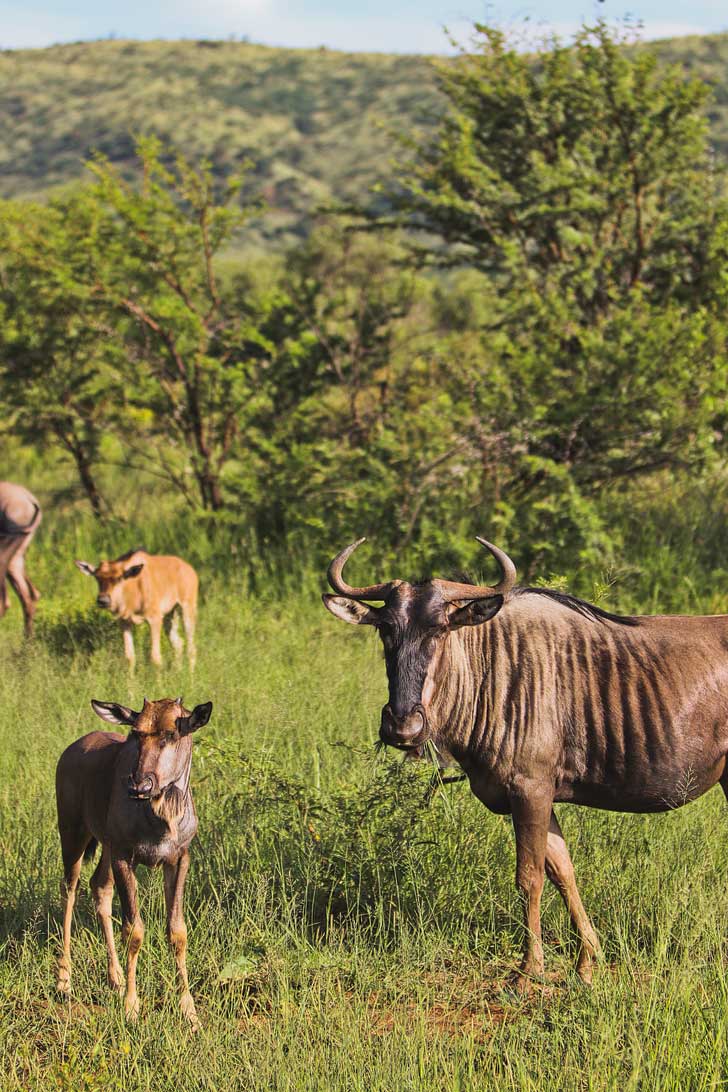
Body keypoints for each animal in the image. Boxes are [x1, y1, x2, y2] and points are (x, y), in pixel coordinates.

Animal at [55, 698, 211, 1022]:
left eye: (171, 733)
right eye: (136, 733)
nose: (140, 786)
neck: (161, 818)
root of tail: (72, 750)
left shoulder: (178, 859)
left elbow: (177, 931)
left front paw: (189, 1011)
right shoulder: (126, 857)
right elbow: (134, 931)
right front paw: (131, 1008)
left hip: (106, 847)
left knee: (99, 886)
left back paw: (113, 977)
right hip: (73, 833)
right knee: (70, 889)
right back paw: (64, 980)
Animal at [325, 537, 728, 991]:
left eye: (441, 629)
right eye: (385, 629)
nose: (402, 726)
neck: (492, 672)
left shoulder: (529, 790)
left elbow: (529, 877)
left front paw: (527, 971)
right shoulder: (539, 799)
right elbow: (563, 871)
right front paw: (587, 962)